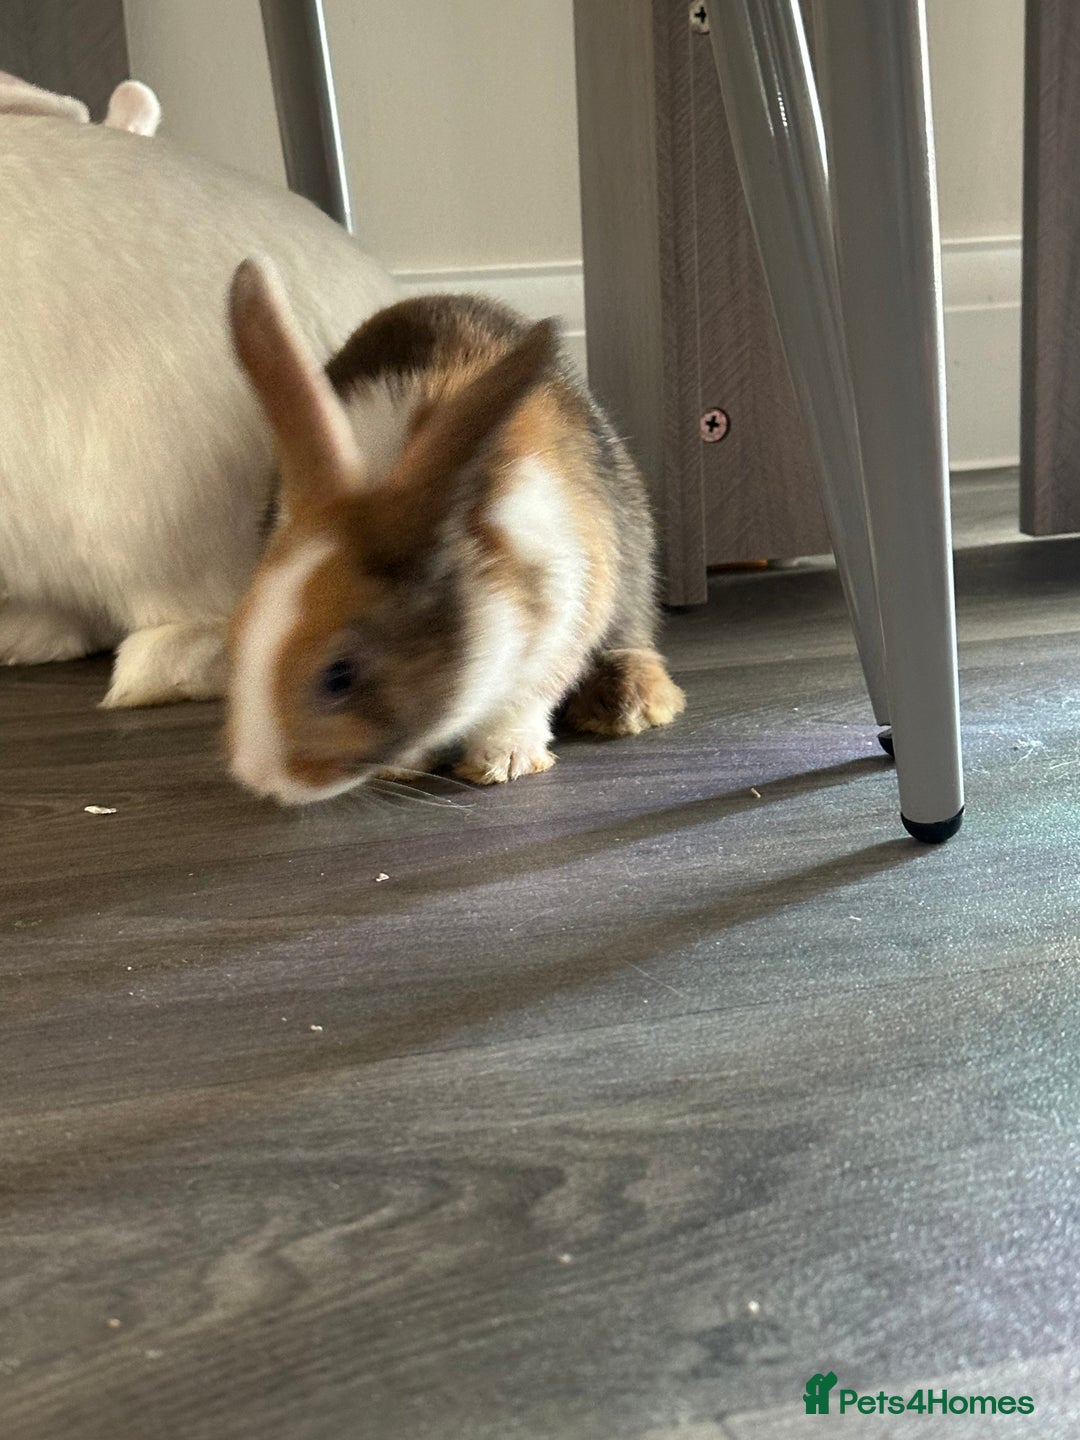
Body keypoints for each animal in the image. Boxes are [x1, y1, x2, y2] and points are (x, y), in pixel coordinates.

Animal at [225, 258, 685, 804]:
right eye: (238, 641)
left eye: (340, 676)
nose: (263, 779)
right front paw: (402, 768)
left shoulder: (566, 614)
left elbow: (524, 702)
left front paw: (503, 761)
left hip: (632, 555)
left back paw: (628, 704)